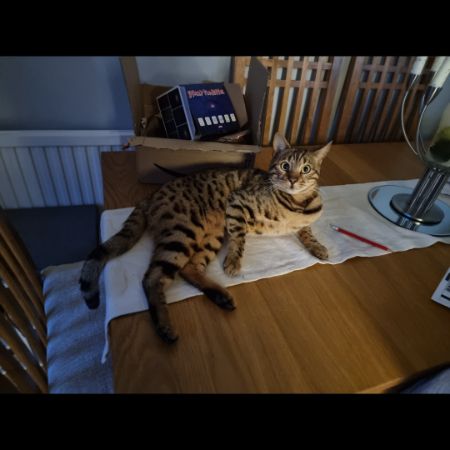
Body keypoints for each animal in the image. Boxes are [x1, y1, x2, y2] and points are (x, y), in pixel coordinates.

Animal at [79, 133, 331, 344]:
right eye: (285, 165)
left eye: (306, 169)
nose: (292, 180)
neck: (296, 204)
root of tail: (151, 195)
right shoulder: (237, 202)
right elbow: (239, 239)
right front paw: (234, 262)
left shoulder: (302, 221)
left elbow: (307, 232)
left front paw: (318, 247)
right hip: (183, 232)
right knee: (152, 277)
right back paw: (164, 326)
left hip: (211, 235)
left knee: (188, 268)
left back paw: (220, 297)